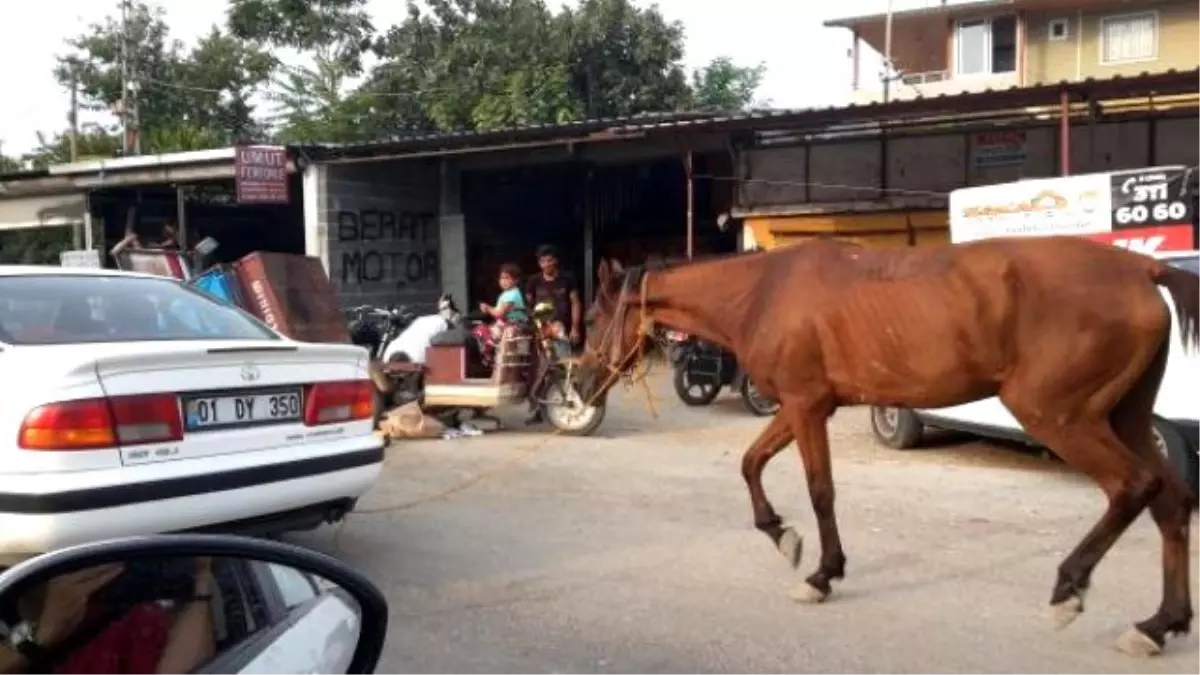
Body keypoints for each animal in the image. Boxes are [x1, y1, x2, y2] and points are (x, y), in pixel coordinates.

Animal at [576, 234, 1195, 653]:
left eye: (593, 316)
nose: (580, 384)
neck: (763, 293)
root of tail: (1142, 268)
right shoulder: (803, 406)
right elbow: (751, 464)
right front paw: (783, 536)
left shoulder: (805, 407)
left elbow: (820, 490)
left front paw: (821, 575)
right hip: (1125, 417)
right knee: (1171, 500)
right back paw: (1158, 625)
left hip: (1061, 416)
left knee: (1133, 487)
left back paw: (1070, 589)